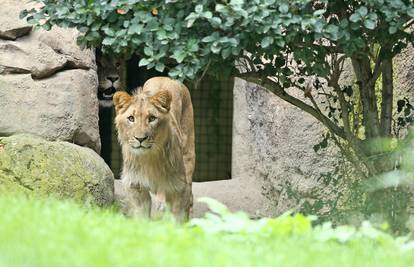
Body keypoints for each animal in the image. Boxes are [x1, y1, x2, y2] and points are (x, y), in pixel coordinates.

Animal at [113, 76, 196, 222]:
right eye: (131, 118)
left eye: (152, 118)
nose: (140, 139)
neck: (149, 158)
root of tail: (166, 78)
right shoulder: (136, 185)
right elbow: (141, 216)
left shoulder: (178, 187)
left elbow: (177, 217)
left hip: (188, 155)